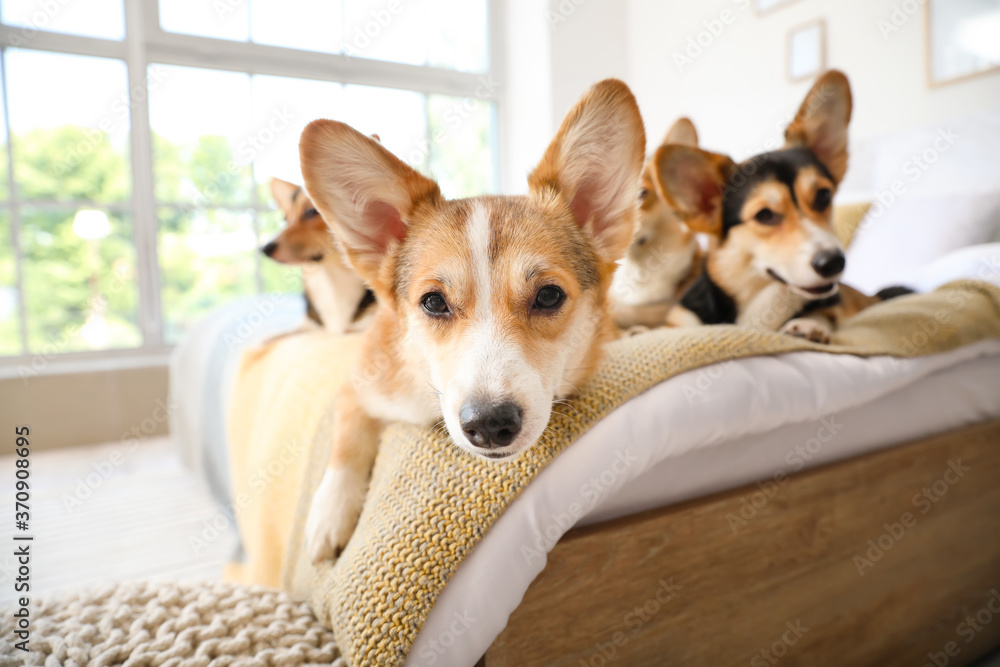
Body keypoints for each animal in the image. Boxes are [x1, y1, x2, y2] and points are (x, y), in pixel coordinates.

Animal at [296, 81, 644, 568]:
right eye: (434, 302)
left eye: (549, 296)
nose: (490, 424)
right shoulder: (358, 385)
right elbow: (346, 439)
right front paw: (328, 517)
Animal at [656, 71, 900, 344]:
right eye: (765, 215)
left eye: (824, 196)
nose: (834, 263)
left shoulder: (831, 303)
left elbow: (823, 314)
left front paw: (808, 326)